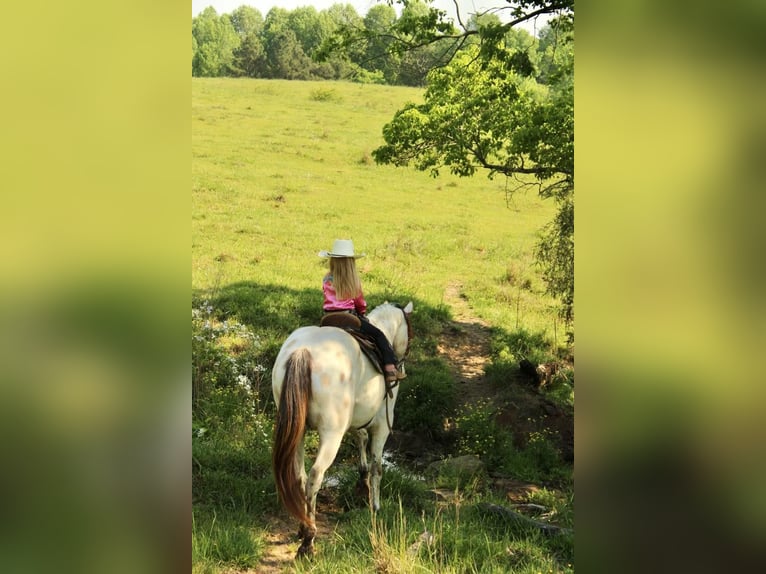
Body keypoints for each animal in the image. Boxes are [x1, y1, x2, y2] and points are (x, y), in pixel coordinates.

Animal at [272, 302, 414, 560]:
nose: (401, 364)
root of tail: (304, 352)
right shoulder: (382, 425)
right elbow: (378, 466)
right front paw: (375, 506)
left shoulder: (356, 420)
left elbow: (361, 439)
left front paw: (362, 483)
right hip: (331, 435)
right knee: (315, 477)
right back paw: (308, 540)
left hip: (297, 431)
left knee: (299, 476)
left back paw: (302, 527)